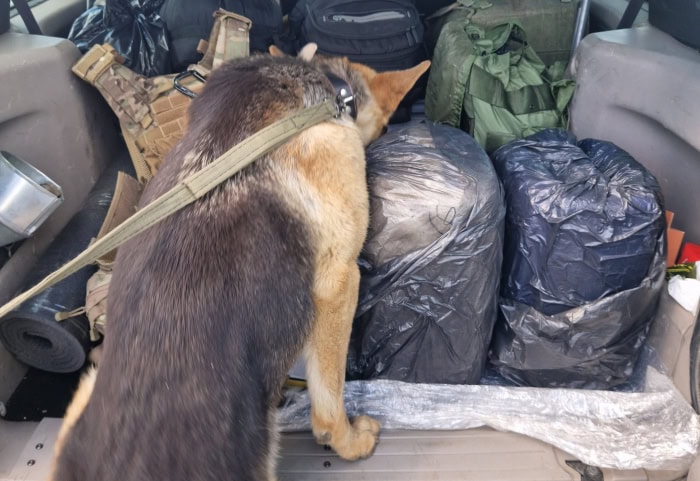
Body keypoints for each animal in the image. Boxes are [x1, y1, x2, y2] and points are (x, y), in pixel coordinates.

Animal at [50, 43, 426, 478]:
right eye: (383, 128)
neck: (320, 85)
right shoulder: (339, 282)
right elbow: (330, 396)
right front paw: (347, 440)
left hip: (85, 391)